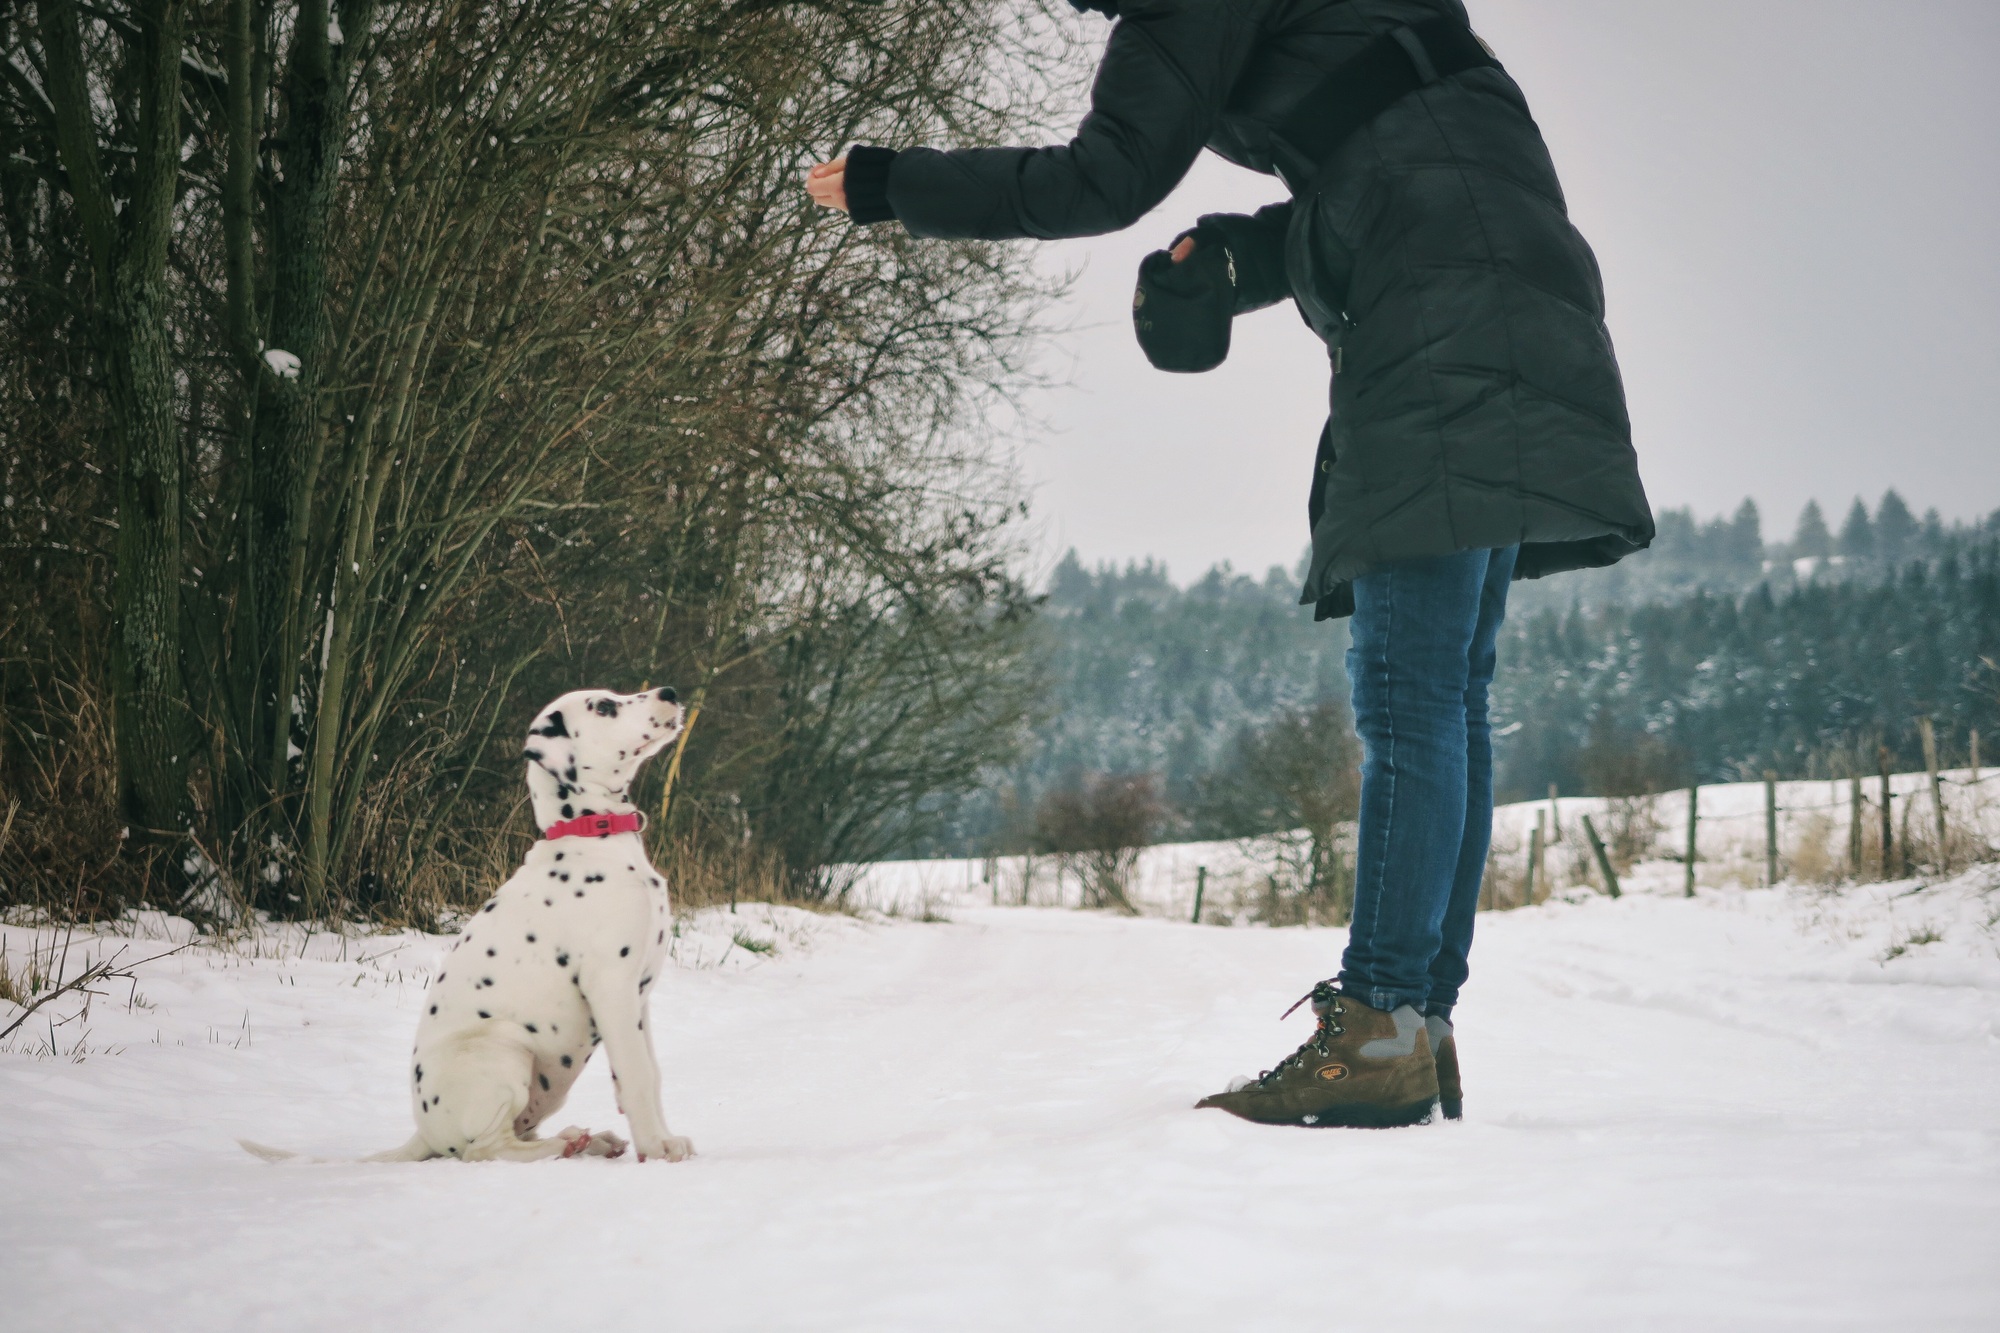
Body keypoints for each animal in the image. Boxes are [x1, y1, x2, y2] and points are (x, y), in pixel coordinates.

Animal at [244, 684, 696, 1160]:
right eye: (604, 707)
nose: (669, 692)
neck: (591, 836)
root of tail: (424, 1133)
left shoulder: (638, 997)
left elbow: (650, 1073)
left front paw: (663, 1138)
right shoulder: (612, 987)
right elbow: (637, 1075)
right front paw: (658, 1148)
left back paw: (586, 1141)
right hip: (505, 1049)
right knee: (487, 1150)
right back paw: (567, 1145)